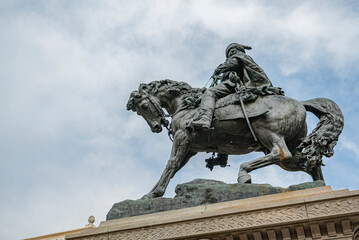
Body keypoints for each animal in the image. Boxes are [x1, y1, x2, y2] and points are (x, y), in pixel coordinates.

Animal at [128, 79, 344, 198]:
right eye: (138, 112)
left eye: (144, 107)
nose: (156, 127)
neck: (186, 105)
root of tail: (300, 103)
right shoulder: (191, 148)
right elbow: (174, 168)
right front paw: (151, 194)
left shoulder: (182, 138)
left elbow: (171, 164)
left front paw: (154, 193)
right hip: (292, 148)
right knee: (309, 163)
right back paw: (320, 187)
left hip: (268, 133)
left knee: (279, 153)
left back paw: (244, 173)